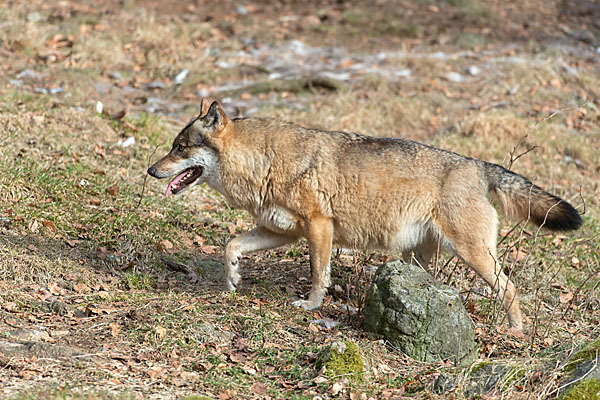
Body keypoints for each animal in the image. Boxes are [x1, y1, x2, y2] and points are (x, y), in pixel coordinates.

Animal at [148, 98, 584, 330]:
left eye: (180, 148)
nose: (151, 170)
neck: (265, 161)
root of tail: (478, 165)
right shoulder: (280, 231)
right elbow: (230, 245)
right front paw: (232, 279)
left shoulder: (319, 229)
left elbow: (318, 276)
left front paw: (311, 307)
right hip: (418, 257)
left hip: (472, 254)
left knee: (509, 288)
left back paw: (515, 332)